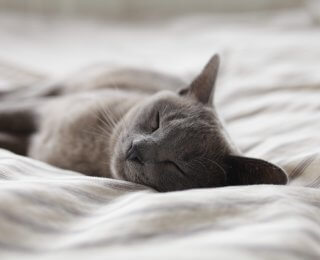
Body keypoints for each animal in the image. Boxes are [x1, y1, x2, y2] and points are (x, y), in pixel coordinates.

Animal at [0, 54, 288, 192]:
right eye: (156, 122)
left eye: (175, 165)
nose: (136, 150)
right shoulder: (40, 110)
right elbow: (9, 111)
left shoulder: (30, 144)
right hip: (58, 86)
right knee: (22, 92)